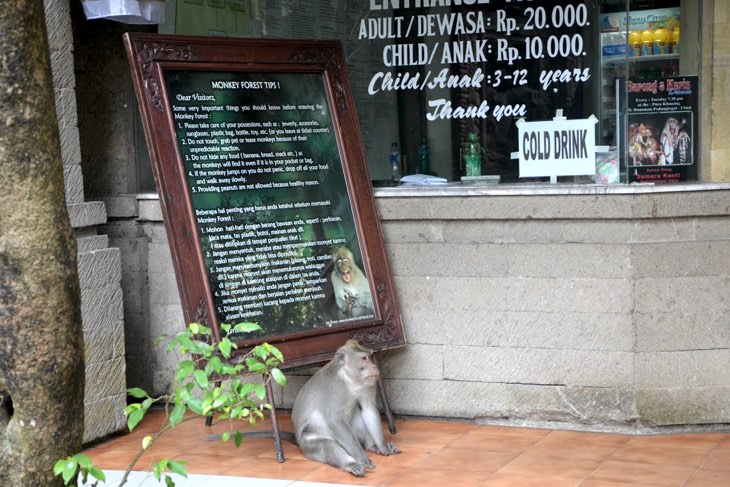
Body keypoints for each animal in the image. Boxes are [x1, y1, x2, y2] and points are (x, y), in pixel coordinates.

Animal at [290, 340, 398, 476]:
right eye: (364, 358)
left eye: (369, 357)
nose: (374, 367)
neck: (348, 379)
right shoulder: (334, 389)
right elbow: (335, 421)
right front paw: (363, 459)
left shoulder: (366, 384)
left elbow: (368, 408)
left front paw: (382, 446)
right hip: (309, 444)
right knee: (327, 445)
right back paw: (350, 464)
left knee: (357, 411)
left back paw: (371, 446)